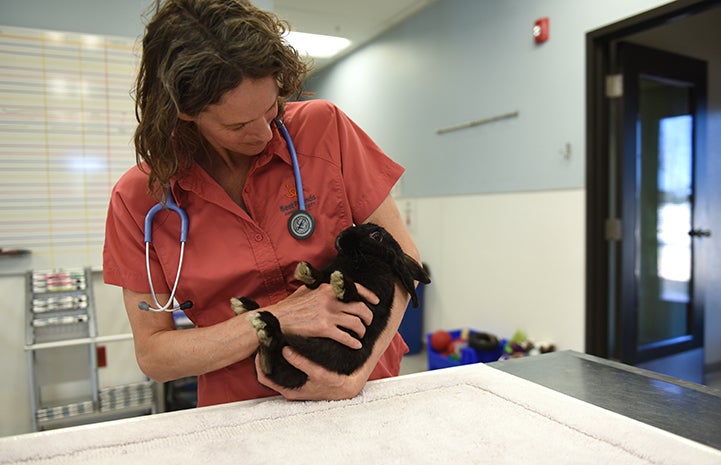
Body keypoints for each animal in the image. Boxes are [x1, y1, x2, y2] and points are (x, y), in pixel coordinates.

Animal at [232, 223, 428, 390]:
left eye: (376, 236)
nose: (341, 236)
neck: (362, 258)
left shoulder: (372, 303)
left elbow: (354, 296)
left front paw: (341, 284)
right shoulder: (327, 275)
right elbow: (318, 280)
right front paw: (306, 271)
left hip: (319, 351)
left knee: (273, 355)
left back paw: (265, 325)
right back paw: (246, 307)